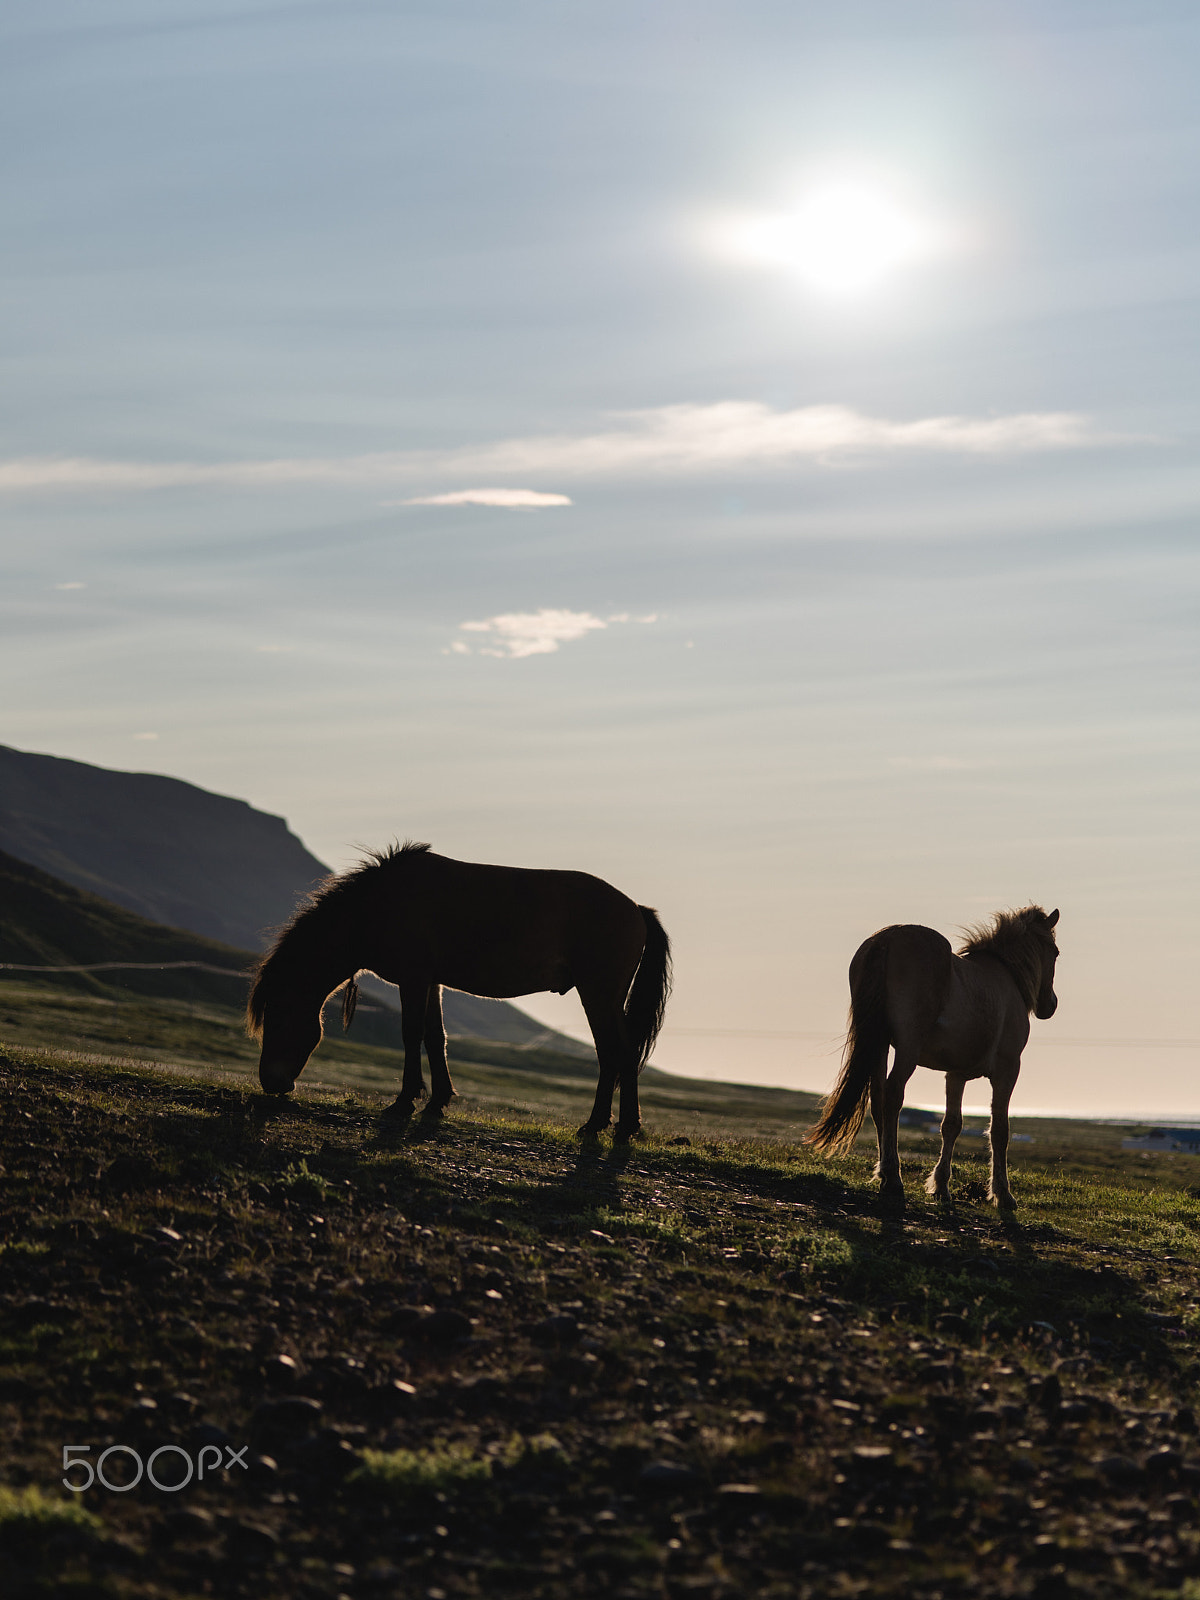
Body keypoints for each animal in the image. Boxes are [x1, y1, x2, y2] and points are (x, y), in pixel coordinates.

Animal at [248, 844, 672, 1145]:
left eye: (278, 1019)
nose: (271, 1083)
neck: (377, 906)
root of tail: (636, 908)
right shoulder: (431, 982)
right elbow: (436, 1038)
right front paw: (437, 1101)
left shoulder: (413, 979)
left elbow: (411, 1034)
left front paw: (404, 1100)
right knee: (620, 1053)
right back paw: (618, 1126)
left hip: (598, 995)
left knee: (615, 1052)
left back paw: (604, 1125)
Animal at [809, 908, 1062, 1203]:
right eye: (1055, 952)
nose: (1051, 1005)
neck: (1008, 976)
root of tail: (886, 939)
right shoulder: (1007, 1070)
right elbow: (1000, 1131)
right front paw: (1003, 1194)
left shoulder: (956, 1074)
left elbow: (951, 1125)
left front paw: (941, 1186)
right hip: (907, 1047)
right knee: (893, 1094)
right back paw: (893, 1178)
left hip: (879, 1044)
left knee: (879, 1097)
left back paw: (884, 1174)